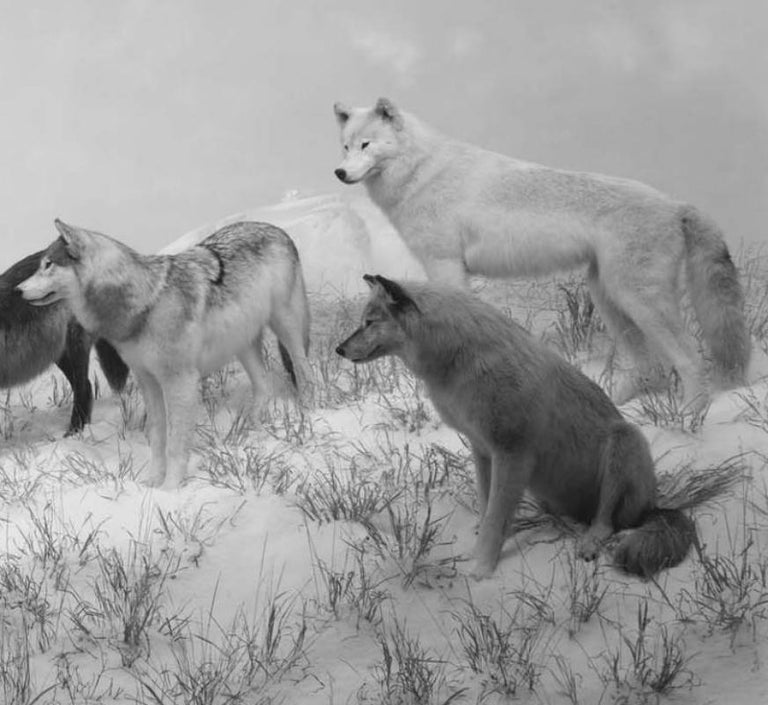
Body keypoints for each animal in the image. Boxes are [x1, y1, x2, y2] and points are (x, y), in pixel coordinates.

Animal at [18, 220, 312, 489]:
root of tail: (275, 228)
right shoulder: (148, 382)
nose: (17, 290)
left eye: (48, 265)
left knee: (304, 369)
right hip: (243, 345)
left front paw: (170, 490)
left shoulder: (180, 383)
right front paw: (151, 484)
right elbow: (158, 438)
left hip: (286, 326)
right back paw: (252, 429)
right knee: (264, 385)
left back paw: (311, 408)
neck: (146, 304)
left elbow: (176, 444)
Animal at [333, 97, 750, 409]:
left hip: (638, 301)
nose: (339, 172)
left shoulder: (445, 265)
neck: (421, 172)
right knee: (652, 369)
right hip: (611, 300)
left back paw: (690, 423)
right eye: (346, 146)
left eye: (366, 145)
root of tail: (677, 205)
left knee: (690, 359)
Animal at [336, 275, 699, 580]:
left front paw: (481, 570)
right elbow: (488, 508)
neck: (456, 361)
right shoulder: (483, 451)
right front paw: (482, 547)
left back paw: (588, 543)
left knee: (606, 523)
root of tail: (655, 508)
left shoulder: (512, 455)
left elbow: (494, 518)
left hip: (625, 440)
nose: (339, 349)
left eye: (369, 323)